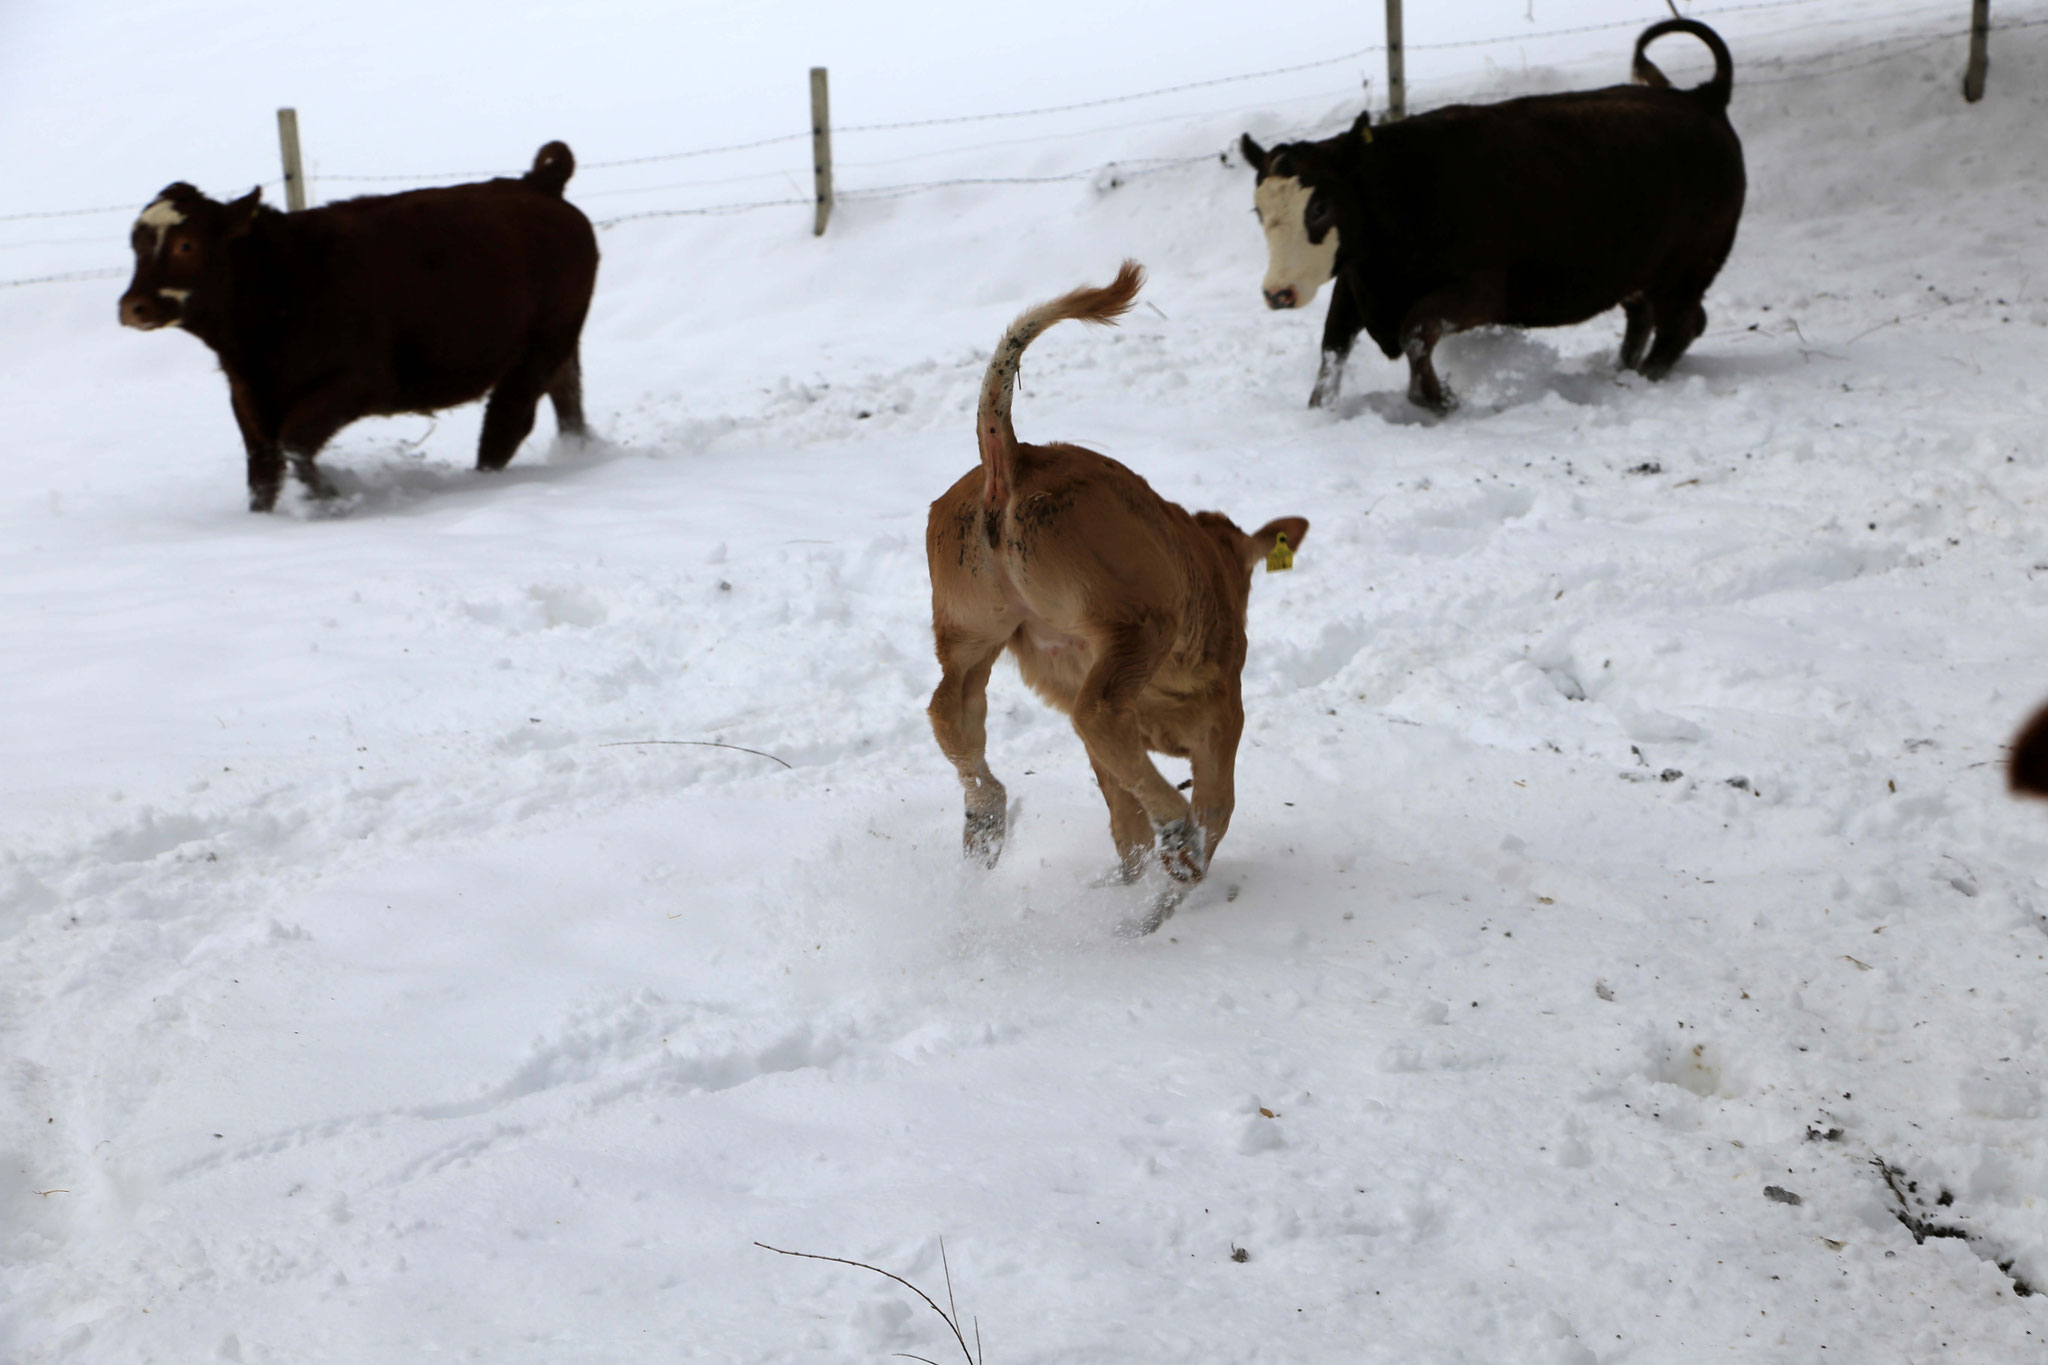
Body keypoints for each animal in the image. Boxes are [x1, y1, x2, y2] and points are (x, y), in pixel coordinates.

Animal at [118, 143, 598, 511]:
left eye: (186, 245)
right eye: (136, 244)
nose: (133, 306)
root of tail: (536, 185)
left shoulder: (362, 381)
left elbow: (292, 442)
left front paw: (332, 497)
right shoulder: (247, 395)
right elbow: (262, 467)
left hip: (540, 345)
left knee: (506, 424)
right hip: (557, 346)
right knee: (567, 397)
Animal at [929, 263, 1310, 929]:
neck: (1211, 561)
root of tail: (1013, 459)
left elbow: (1123, 817)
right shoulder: (1222, 713)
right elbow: (1217, 804)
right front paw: (1169, 891)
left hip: (972, 630)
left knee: (952, 713)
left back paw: (986, 824)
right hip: (1134, 622)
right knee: (1099, 715)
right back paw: (1179, 842)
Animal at [1245, 20, 1744, 411]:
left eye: (1320, 206)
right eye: (1258, 210)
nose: (1277, 293)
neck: (1403, 189)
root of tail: (1703, 99)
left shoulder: (1480, 292)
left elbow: (1415, 330)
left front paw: (1439, 398)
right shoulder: (1354, 283)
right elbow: (1332, 349)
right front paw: (1320, 411)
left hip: (1687, 266)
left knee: (1683, 323)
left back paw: (1641, 378)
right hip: (1640, 270)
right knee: (1645, 317)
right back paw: (1621, 368)